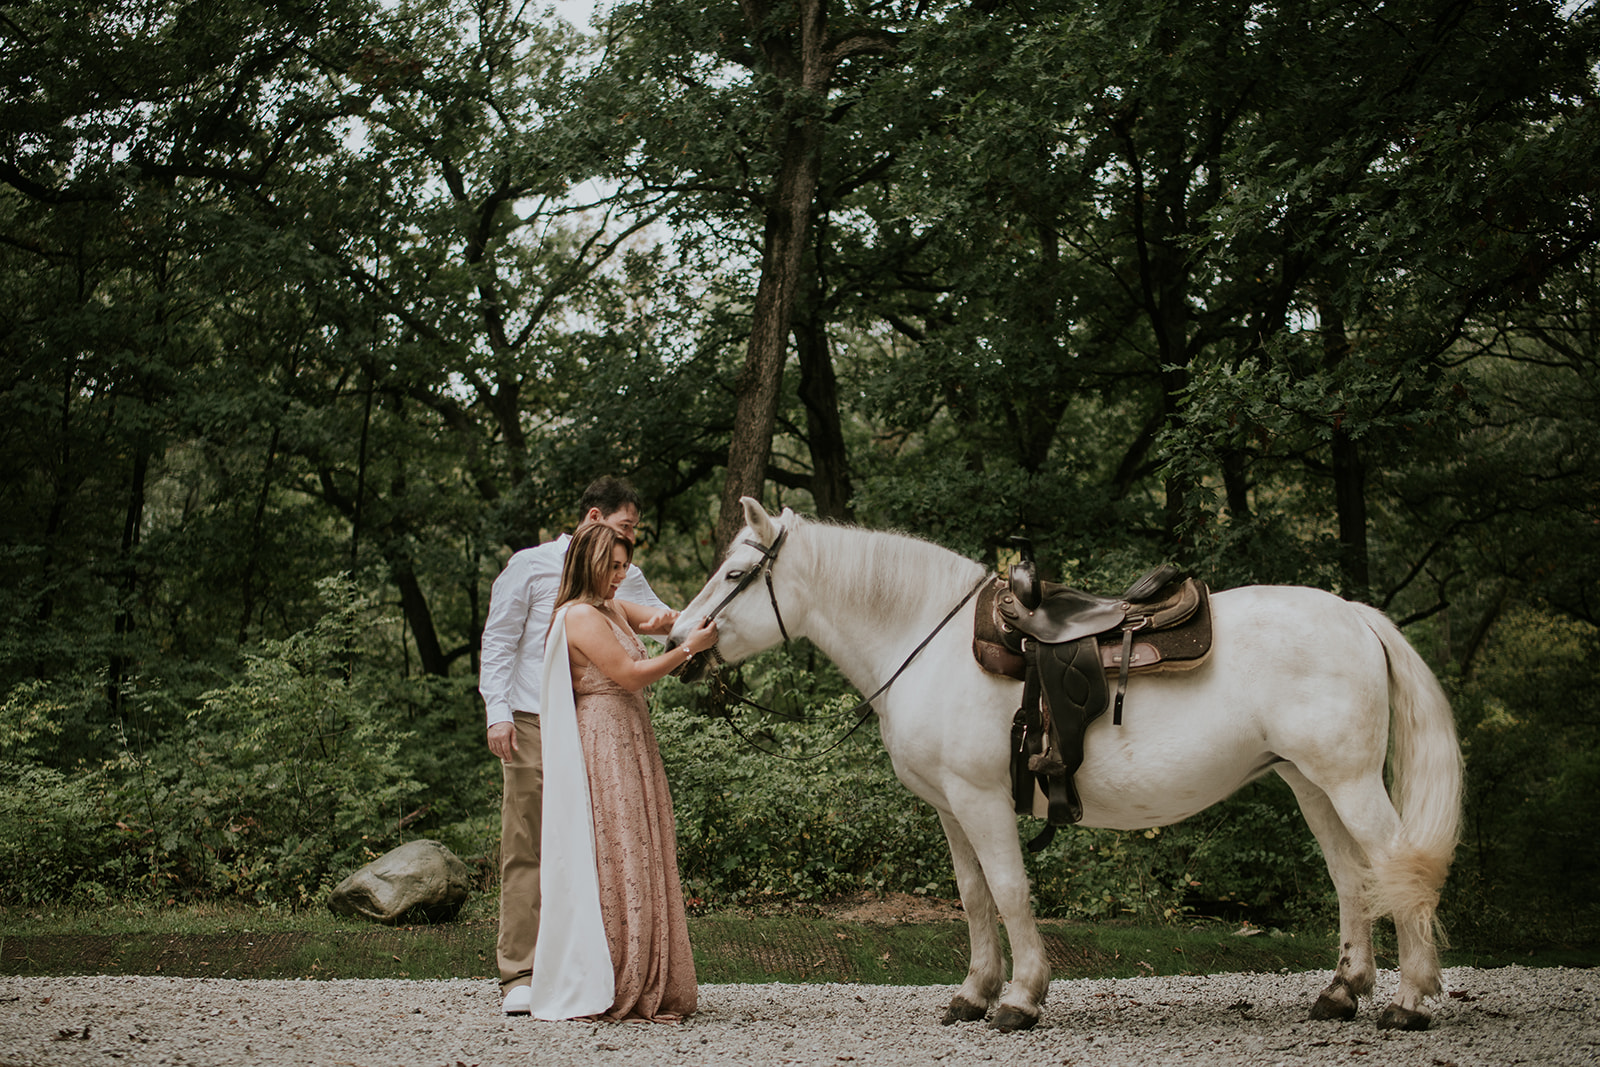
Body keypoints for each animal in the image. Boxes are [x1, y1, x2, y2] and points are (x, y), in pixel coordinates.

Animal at [668, 502, 1465, 1036]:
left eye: (736, 571)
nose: (679, 639)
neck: (929, 642)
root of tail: (1355, 614)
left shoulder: (982, 800)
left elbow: (1010, 891)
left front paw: (1020, 998)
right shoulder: (950, 807)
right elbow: (973, 896)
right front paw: (974, 992)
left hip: (1350, 782)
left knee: (1398, 866)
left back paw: (1410, 1001)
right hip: (1311, 783)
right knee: (1351, 878)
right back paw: (1342, 991)